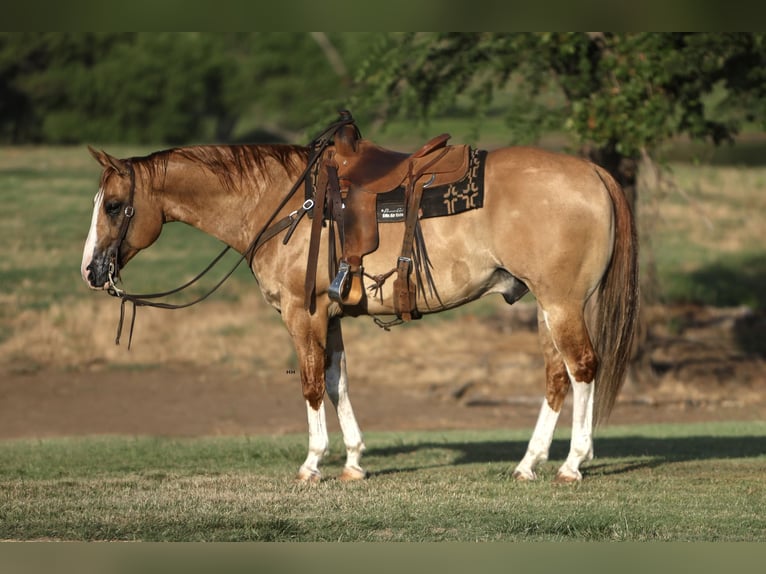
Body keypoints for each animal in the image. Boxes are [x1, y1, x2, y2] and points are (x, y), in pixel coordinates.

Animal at [81, 133, 640, 484]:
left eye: (114, 205)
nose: (90, 270)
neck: (283, 204)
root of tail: (592, 172)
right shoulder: (329, 318)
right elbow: (337, 382)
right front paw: (352, 461)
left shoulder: (302, 315)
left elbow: (310, 384)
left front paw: (312, 464)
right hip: (546, 305)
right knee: (557, 376)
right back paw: (529, 464)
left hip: (563, 303)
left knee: (583, 368)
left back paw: (572, 464)